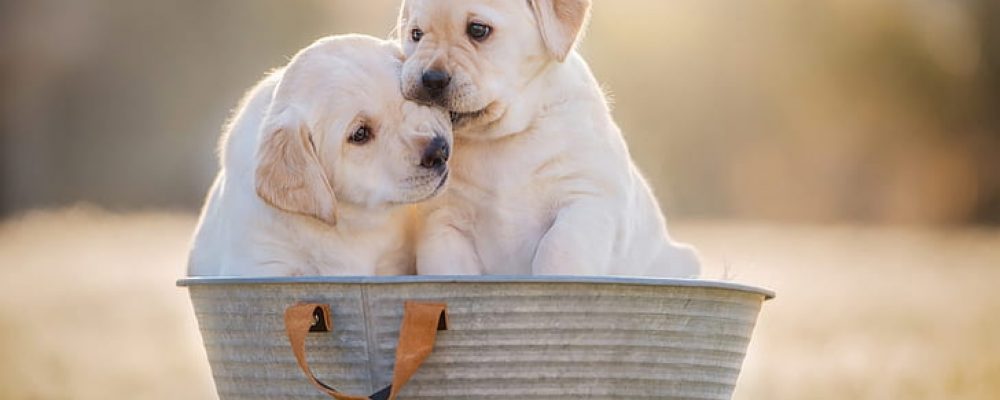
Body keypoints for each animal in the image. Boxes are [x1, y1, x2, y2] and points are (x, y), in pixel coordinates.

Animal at [188, 35, 452, 277]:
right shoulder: (262, 266)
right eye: (360, 134)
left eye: (408, 101)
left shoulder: (393, 262)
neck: (348, 220)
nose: (440, 150)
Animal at [396, 0, 700, 277]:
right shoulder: (443, 223)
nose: (430, 79)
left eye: (478, 30)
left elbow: (558, 249)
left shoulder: (585, 200)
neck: (501, 137)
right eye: (416, 34)